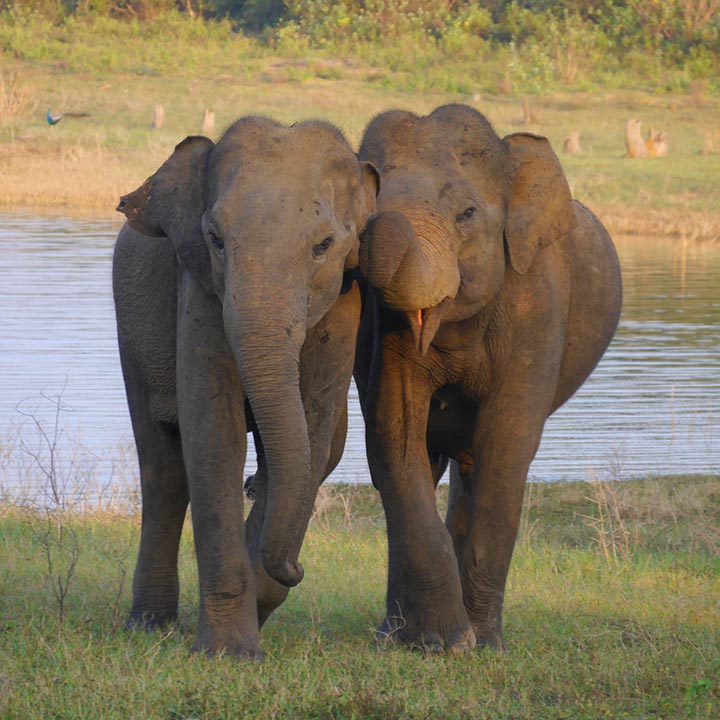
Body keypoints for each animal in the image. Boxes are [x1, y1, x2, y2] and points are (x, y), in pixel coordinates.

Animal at [112, 116, 376, 660]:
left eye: (323, 246)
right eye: (215, 239)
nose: (299, 569)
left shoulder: (346, 302)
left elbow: (312, 432)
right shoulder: (199, 289)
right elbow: (214, 433)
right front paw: (229, 653)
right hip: (131, 330)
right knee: (163, 468)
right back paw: (148, 625)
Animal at [356, 105, 624, 652]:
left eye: (466, 214)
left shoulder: (537, 304)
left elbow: (506, 443)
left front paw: (481, 643)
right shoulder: (384, 329)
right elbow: (394, 435)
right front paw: (444, 643)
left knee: (473, 464)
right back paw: (392, 637)